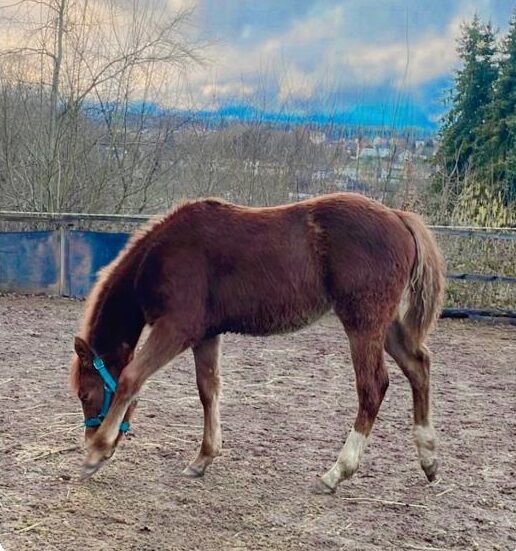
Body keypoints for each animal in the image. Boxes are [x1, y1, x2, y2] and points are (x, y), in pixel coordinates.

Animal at [71, 193, 444, 492]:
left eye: (85, 395)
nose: (88, 439)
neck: (162, 254)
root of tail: (398, 216)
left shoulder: (176, 329)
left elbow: (131, 378)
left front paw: (95, 454)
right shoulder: (206, 334)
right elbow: (208, 389)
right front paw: (204, 457)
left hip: (362, 324)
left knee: (373, 387)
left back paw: (336, 472)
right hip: (385, 325)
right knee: (418, 366)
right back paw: (428, 458)